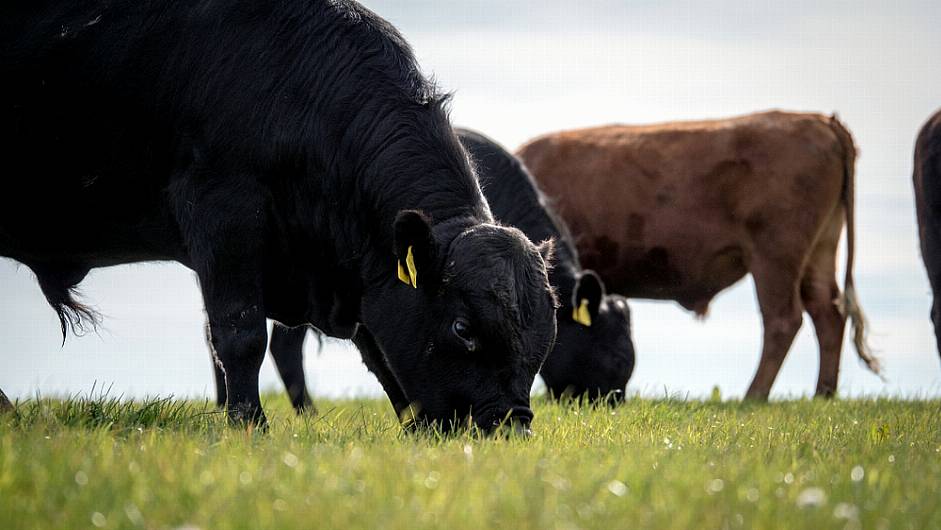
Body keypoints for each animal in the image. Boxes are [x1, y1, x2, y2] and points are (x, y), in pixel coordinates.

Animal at [1, 0, 560, 432]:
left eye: (547, 334)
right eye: (463, 328)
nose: (510, 426)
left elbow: (377, 353)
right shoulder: (223, 213)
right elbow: (240, 334)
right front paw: (248, 426)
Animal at [520, 112, 880, 400]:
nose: (605, 401)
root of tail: (820, 120)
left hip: (776, 255)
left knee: (783, 320)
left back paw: (753, 396)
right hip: (820, 251)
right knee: (828, 314)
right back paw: (823, 394)